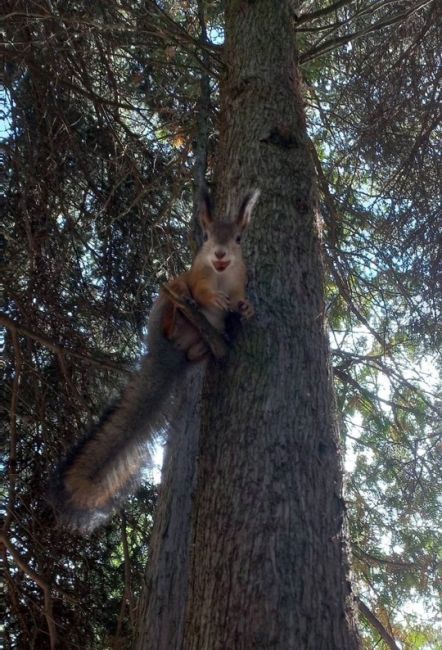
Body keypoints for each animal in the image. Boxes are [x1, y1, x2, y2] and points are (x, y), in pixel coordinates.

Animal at [51, 187, 258, 532]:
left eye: (239, 239)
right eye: (206, 236)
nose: (219, 255)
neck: (221, 275)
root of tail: (167, 353)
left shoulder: (240, 280)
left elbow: (241, 296)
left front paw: (245, 308)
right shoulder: (197, 276)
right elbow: (201, 290)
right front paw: (213, 298)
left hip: (200, 340)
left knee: (197, 349)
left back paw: (210, 346)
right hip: (168, 296)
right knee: (175, 303)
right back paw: (177, 315)